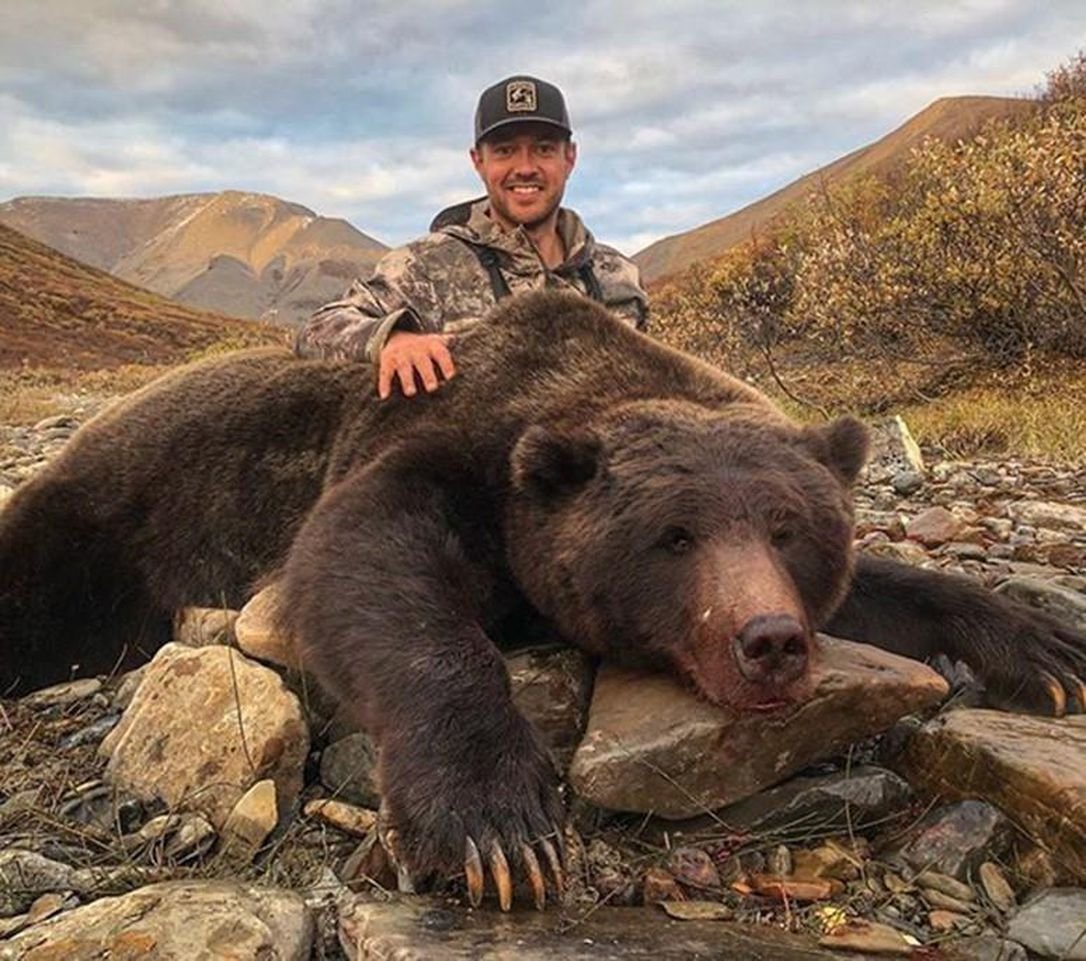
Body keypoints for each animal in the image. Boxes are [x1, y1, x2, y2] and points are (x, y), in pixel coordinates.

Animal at [1, 290, 1084, 910]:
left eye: (788, 529)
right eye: (674, 535)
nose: (769, 640)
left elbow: (892, 590)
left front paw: (1045, 648)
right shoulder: (433, 447)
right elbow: (362, 569)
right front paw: (497, 824)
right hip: (102, 522)